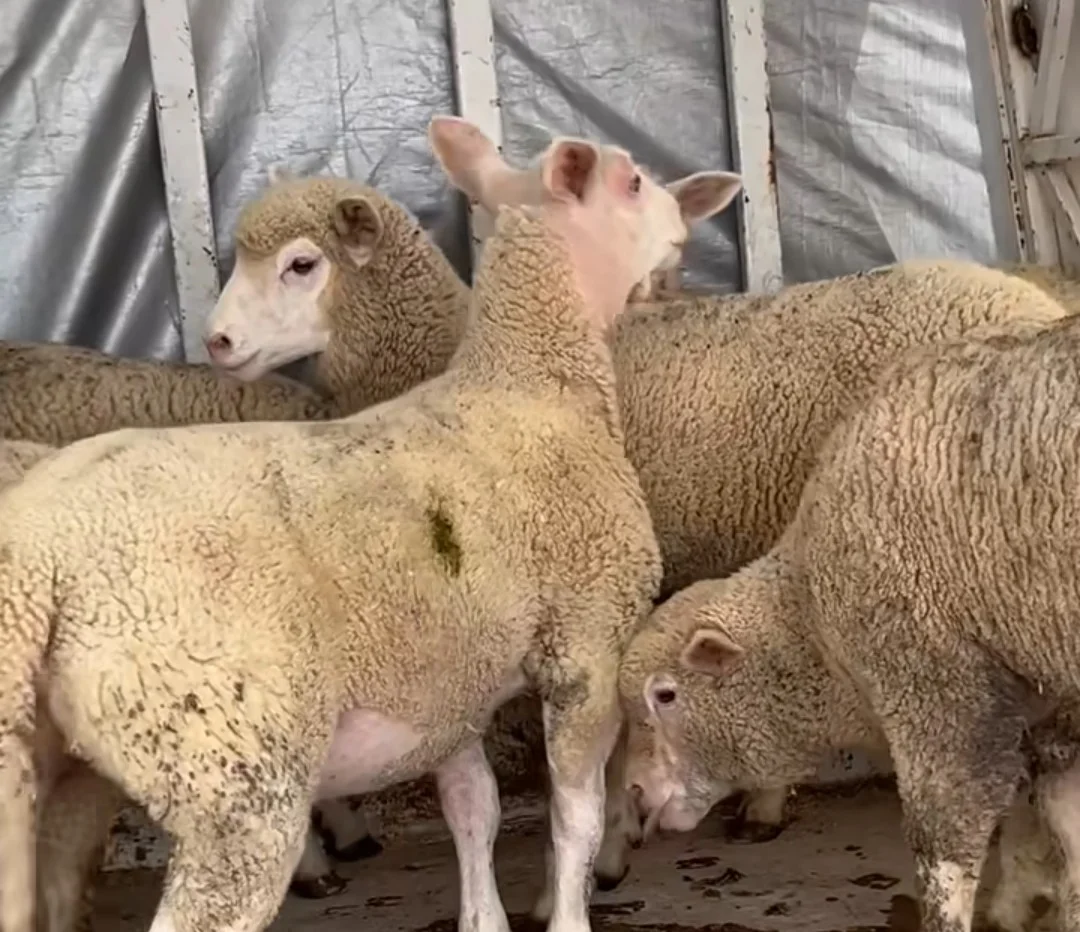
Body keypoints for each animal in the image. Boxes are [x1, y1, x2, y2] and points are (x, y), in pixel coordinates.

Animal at [0, 130, 701, 932]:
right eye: (633, 182)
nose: (682, 225)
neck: (532, 383)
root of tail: (39, 562)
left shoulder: (446, 686)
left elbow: (473, 811)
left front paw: (482, 917)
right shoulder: (586, 644)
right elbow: (571, 820)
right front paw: (568, 908)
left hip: (57, 773)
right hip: (230, 771)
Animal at [617, 311, 1080, 932]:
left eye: (665, 695)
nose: (636, 793)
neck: (812, 620)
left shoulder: (936, 691)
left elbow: (945, 849)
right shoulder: (1054, 697)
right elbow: (1065, 823)